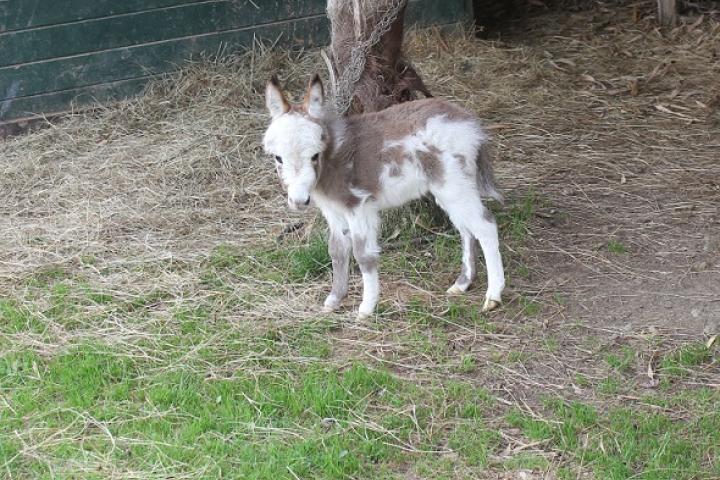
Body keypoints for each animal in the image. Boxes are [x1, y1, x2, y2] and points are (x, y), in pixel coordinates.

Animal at [262, 75, 504, 320]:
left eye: (314, 155)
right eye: (278, 158)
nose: (299, 201)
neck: (332, 158)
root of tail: (468, 121)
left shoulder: (358, 206)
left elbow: (362, 255)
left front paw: (366, 309)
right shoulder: (333, 210)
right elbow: (337, 250)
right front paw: (334, 300)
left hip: (453, 184)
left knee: (485, 225)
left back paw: (492, 296)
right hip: (447, 190)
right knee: (466, 229)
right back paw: (462, 284)